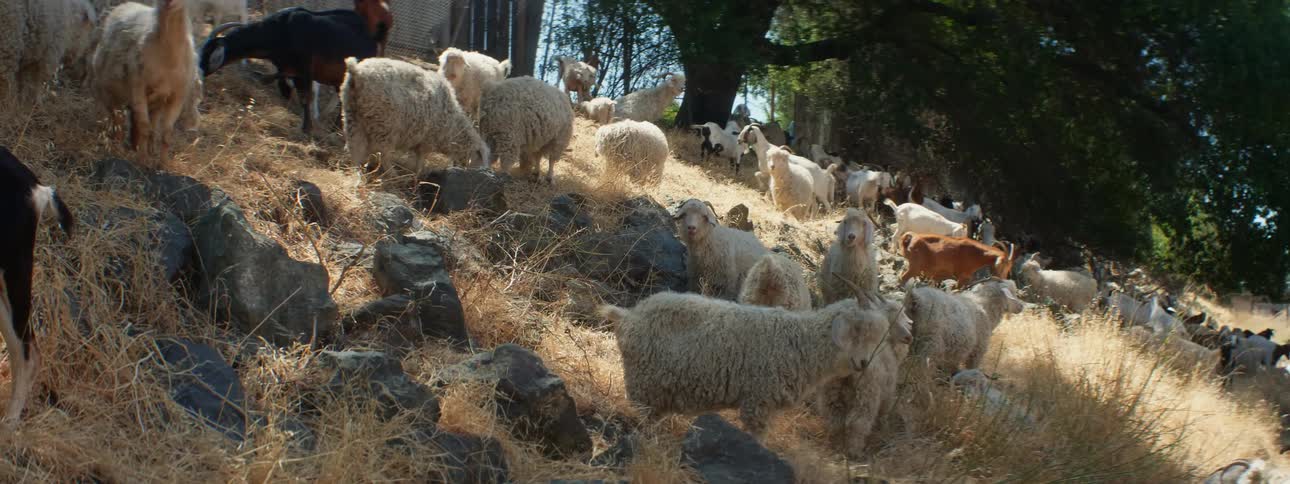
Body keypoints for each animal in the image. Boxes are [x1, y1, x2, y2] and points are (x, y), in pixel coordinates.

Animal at [91, 0, 197, 168]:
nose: (168, 2)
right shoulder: (138, 87)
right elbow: (144, 127)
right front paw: (142, 160)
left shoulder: (177, 95)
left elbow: (166, 133)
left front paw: (164, 163)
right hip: (108, 91)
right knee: (117, 119)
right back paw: (119, 147)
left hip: (155, 101)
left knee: (148, 123)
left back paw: (147, 148)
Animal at [340, 57, 489, 181]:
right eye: (480, 159)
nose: (484, 175)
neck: (453, 127)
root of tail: (357, 73)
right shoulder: (427, 139)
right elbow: (420, 158)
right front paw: (418, 173)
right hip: (384, 123)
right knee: (384, 152)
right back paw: (392, 175)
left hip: (353, 117)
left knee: (354, 148)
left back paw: (358, 175)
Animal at [598, 292, 910, 438]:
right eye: (858, 329)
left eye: (879, 335)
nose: (864, 363)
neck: (801, 341)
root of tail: (628, 315)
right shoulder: (758, 400)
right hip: (643, 383)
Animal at [815, 294, 912, 456]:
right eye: (891, 321)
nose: (909, 337)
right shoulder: (888, 390)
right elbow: (884, 412)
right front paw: (884, 428)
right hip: (866, 392)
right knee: (858, 422)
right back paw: (855, 451)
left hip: (831, 390)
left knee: (834, 418)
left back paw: (834, 442)